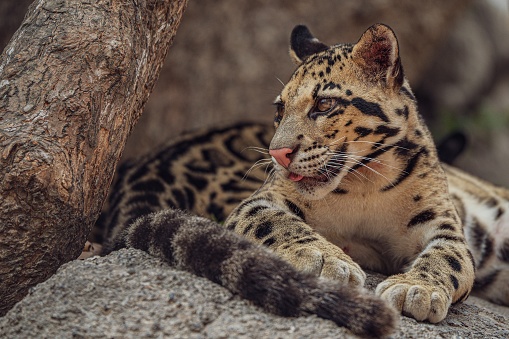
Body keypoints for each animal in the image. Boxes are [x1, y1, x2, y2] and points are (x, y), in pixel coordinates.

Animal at [97, 24, 506, 338]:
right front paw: (326, 259)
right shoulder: (259, 201)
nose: (276, 153)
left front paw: (416, 288)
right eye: (280, 109)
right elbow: (279, 223)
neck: (365, 185)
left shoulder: (443, 225)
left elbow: (447, 258)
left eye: (324, 105)